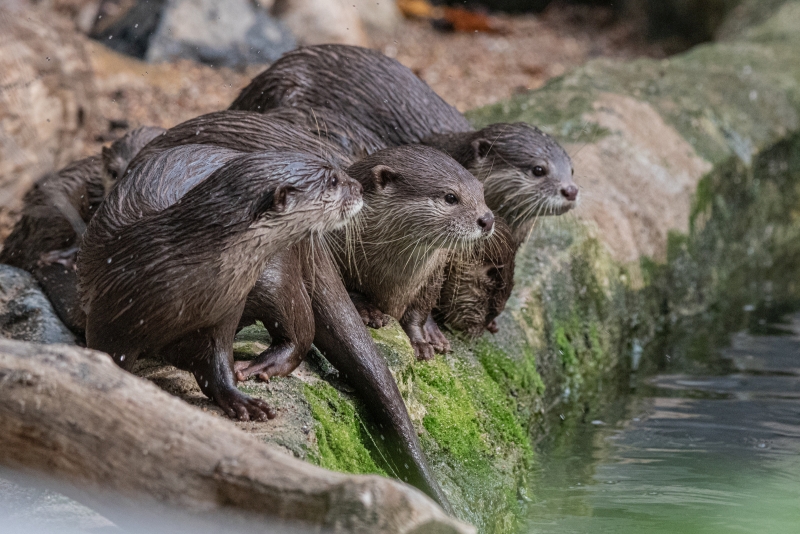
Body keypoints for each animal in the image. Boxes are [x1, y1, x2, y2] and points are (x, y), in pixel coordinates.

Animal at [77, 147, 360, 422]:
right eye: (333, 181)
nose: (358, 187)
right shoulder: (109, 316)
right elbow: (109, 357)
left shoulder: (225, 313)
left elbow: (217, 364)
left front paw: (242, 401)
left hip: (276, 277)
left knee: (299, 328)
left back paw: (260, 365)